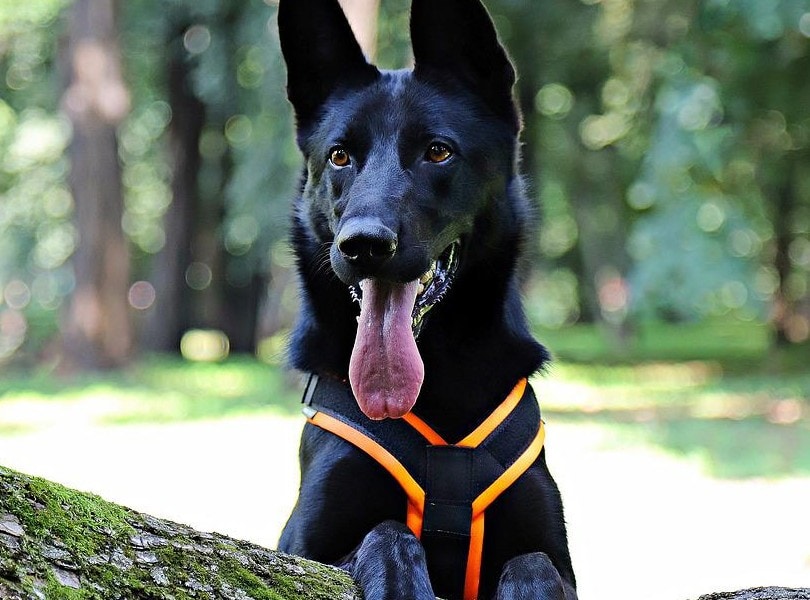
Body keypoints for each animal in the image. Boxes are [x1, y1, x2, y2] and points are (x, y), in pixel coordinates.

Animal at [276, 1, 576, 600]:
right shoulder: (303, 547)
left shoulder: (562, 562)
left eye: (438, 152)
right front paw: (400, 579)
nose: (364, 245)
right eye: (339, 156)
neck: (439, 378)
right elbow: (386, 532)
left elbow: (534, 563)